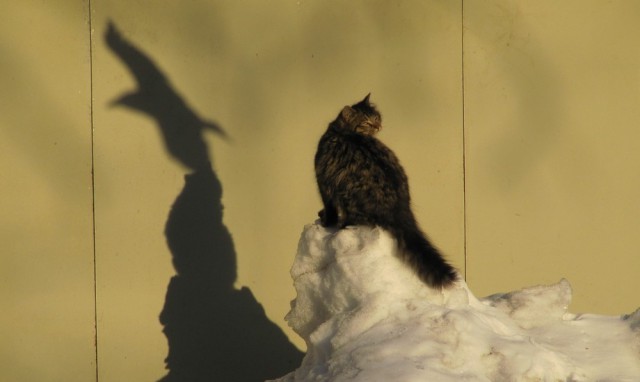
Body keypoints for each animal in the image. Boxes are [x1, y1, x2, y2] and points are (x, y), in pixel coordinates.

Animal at [314, 94, 456, 288]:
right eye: (367, 122)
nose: (378, 126)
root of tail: (399, 209)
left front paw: (326, 222)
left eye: (376, 118)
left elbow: (329, 210)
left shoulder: (324, 185)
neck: (342, 130)